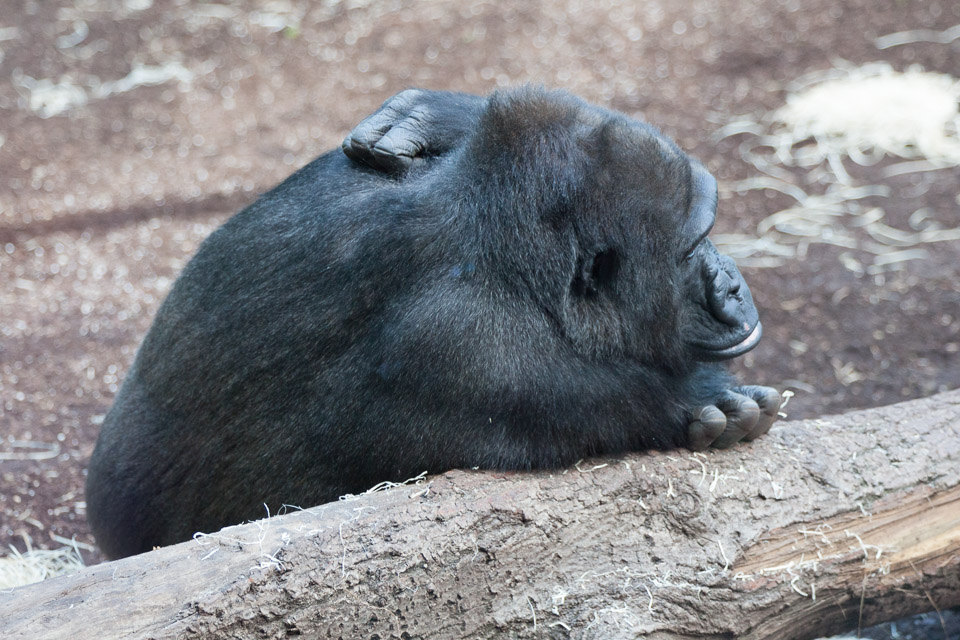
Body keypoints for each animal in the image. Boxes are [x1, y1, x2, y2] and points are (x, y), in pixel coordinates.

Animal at [86, 87, 780, 556]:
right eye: (692, 249)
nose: (732, 284)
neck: (492, 238)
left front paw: (431, 114)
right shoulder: (471, 347)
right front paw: (712, 406)